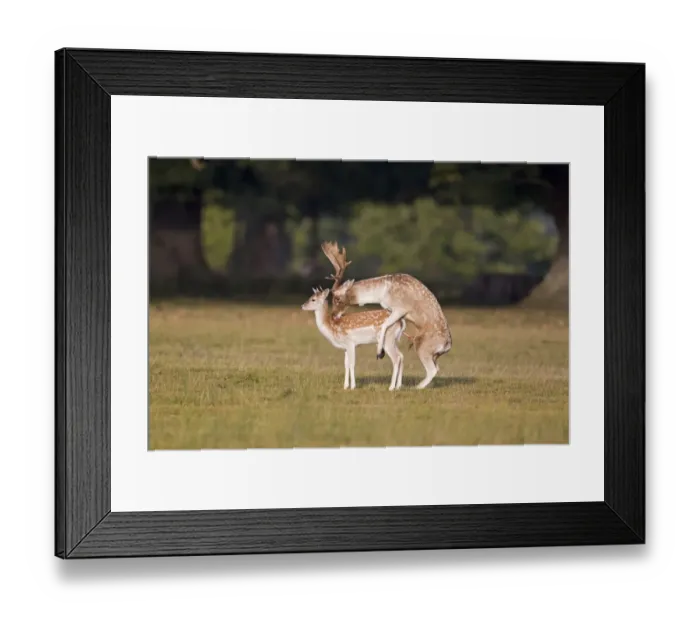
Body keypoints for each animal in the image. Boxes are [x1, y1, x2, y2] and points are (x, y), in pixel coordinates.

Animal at [321, 241, 452, 390]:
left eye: (336, 298)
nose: (333, 316)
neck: (382, 293)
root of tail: (447, 346)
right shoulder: (392, 311)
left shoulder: (400, 308)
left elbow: (384, 325)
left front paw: (380, 353)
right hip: (433, 354)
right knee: (435, 367)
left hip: (422, 346)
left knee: (432, 369)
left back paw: (415, 387)